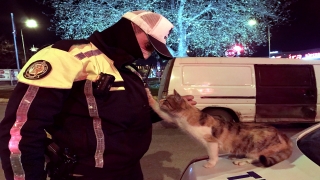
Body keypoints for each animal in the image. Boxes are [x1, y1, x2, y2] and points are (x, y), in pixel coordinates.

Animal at [148, 89, 292, 168]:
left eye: (167, 101)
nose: (161, 100)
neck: (184, 116)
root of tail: (283, 135)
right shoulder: (172, 119)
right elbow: (159, 111)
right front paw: (149, 95)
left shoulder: (211, 142)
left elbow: (212, 155)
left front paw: (210, 164)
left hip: (257, 148)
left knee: (257, 157)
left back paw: (242, 160)